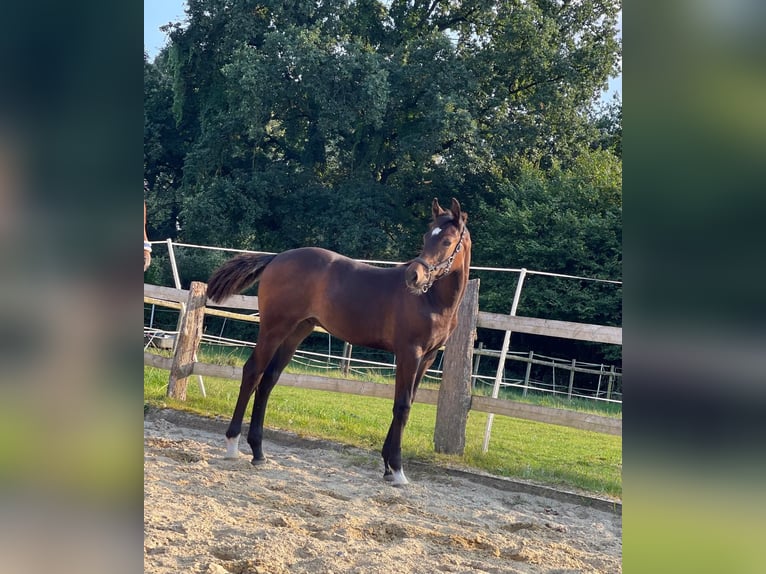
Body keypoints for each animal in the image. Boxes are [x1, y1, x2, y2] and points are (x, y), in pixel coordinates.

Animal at [210, 198, 474, 486]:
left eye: (447, 241)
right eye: (427, 237)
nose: (413, 277)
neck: (431, 300)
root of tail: (277, 258)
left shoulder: (427, 358)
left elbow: (407, 403)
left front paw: (386, 466)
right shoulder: (409, 353)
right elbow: (402, 406)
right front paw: (397, 469)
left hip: (296, 331)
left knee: (269, 379)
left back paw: (258, 452)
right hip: (274, 329)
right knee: (253, 372)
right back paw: (233, 445)